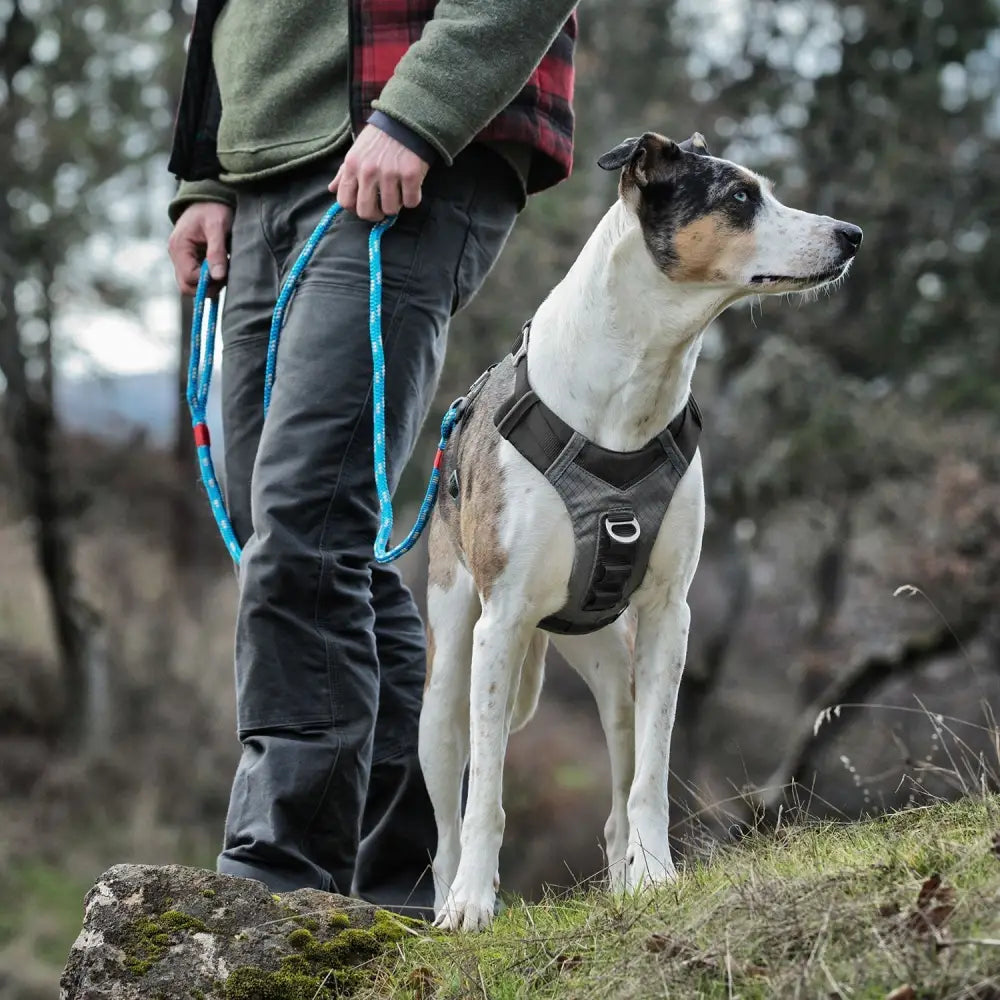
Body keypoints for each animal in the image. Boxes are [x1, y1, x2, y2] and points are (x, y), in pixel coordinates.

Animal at [418, 131, 864, 928]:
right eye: (739, 197)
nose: (851, 235)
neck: (630, 390)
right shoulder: (501, 624)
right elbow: (488, 796)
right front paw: (474, 902)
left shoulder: (667, 617)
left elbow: (650, 777)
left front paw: (655, 876)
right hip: (445, 681)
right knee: (445, 816)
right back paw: (448, 899)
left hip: (610, 664)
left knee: (620, 781)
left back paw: (624, 876)